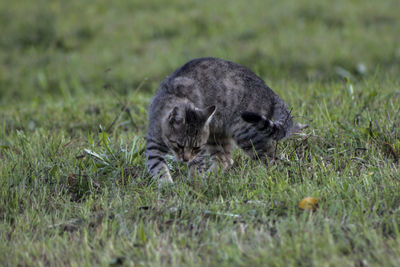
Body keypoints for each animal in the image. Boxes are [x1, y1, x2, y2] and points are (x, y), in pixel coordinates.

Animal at [146, 57, 306, 186]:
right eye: (179, 145)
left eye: (196, 148)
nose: (185, 159)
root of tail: (269, 90)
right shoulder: (153, 144)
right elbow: (157, 166)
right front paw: (166, 185)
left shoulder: (198, 152)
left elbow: (196, 164)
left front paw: (195, 182)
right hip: (217, 135)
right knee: (225, 160)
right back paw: (210, 177)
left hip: (245, 133)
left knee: (272, 158)